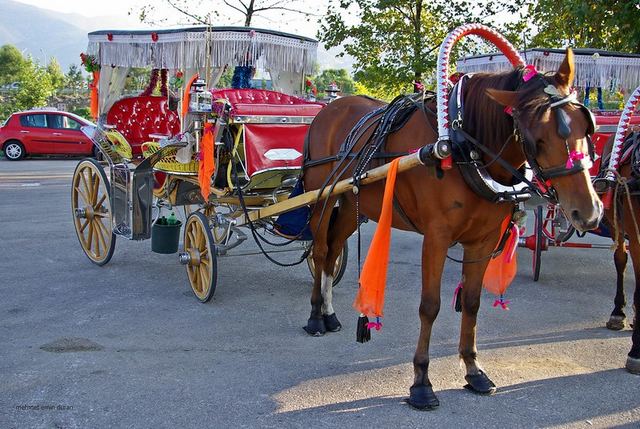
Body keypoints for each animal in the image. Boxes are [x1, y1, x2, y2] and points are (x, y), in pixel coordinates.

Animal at [302, 49, 604, 408]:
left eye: (586, 126)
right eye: (536, 139)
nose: (589, 211)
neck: (462, 146)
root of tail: (329, 109)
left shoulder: (483, 240)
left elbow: (472, 302)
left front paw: (473, 370)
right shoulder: (436, 238)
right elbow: (429, 306)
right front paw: (421, 382)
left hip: (351, 205)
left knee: (334, 248)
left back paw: (330, 314)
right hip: (322, 197)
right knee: (322, 251)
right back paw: (316, 316)